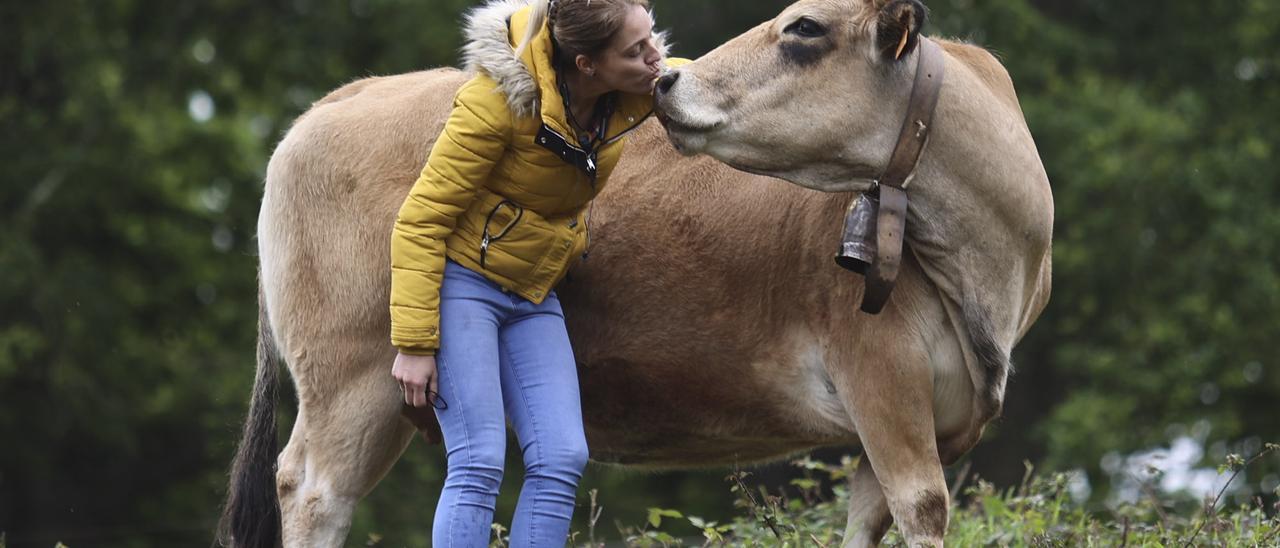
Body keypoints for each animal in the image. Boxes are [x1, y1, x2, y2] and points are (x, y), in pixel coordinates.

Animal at [220, 0, 1054, 545]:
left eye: (805, 29)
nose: (667, 82)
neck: (992, 256)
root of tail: (342, 97)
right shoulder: (882, 382)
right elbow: (924, 509)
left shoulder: (935, 417)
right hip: (352, 377)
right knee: (312, 490)